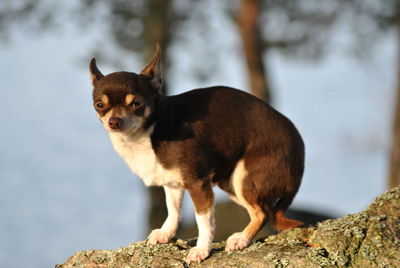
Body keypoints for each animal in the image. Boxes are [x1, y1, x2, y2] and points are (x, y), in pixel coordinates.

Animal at [89, 45, 304, 262]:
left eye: (136, 104)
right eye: (99, 105)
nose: (114, 122)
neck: (151, 131)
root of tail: (300, 154)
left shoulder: (198, 184)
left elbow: (204, 221)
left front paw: (202, 249)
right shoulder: (172, 183)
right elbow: (173, 210)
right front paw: (166, 233)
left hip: (243, 178)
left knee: (262, 213)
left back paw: (241, 239)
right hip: (229, 181)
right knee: (260, 211)